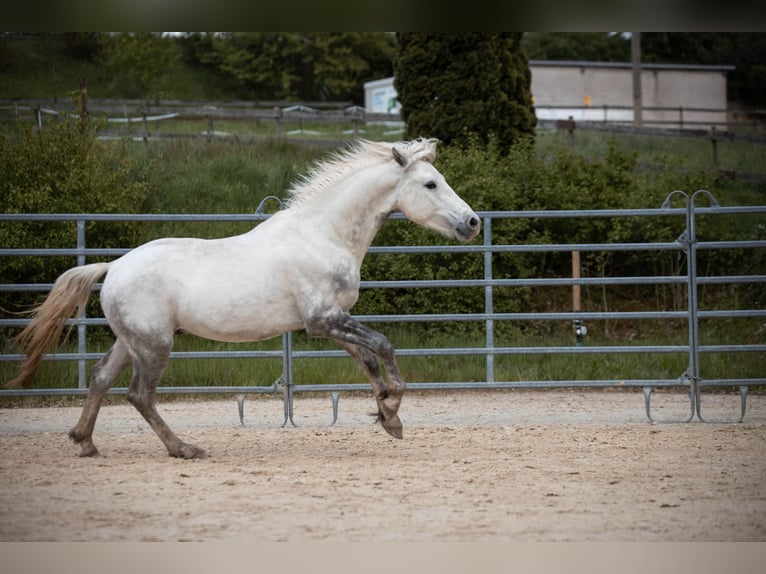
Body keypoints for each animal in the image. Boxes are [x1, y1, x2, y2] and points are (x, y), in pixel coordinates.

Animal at [7, 138, 480, 460]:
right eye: (430, 184)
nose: (473, 222)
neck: (323, 234)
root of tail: (115, 267)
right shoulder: (322, 320)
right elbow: (383, 345)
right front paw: (393, 406)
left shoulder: (334, 320)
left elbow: (367, 359)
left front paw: (388, 417)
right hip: (155, 345)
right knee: (139, 395)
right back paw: (183, 448)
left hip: (132, 341)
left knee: (101, 379)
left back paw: (85, 442)